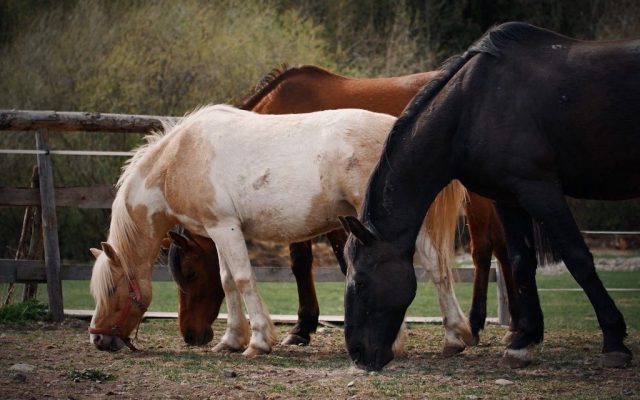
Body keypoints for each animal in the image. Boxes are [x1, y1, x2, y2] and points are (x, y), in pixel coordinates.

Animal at [89, 104, 464, 354]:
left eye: (112, 290)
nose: (97, 337)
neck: (180, 158)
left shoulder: (225, 227)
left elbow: (242, 279)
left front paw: (256, 342)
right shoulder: (217, 230)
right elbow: (227, 280)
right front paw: (231, 340)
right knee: (437, 268)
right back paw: (454, 338)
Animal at [171, 65, 520, 350]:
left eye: (189, 273)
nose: (190, 334)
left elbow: (314, 262)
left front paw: (304, 327)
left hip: (479, 197)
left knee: (486, 251)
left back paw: (486, 325)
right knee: (500, 251)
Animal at [340, 22, 636, 372]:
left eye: (360, 280)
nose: (357, 352)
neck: (475, 106)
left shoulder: (540, 190)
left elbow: (579, 259)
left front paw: (614, 340)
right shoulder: (508, 198)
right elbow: (522, 262)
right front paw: (523, 341)